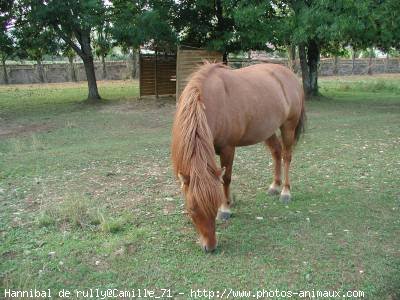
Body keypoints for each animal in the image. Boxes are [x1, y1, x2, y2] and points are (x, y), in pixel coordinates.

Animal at [170, 62, 304, 252]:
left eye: (214, 205)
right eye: (192, 209)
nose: (210, 246)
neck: (210, 101)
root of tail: (289, 74)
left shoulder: (228, 148)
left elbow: (226, 178)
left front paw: (225, 209)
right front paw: (229, 202)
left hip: (288, 127)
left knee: (286, 157)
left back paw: (285, 192)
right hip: (268, 130)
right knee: (277, 152)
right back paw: (274, 186)